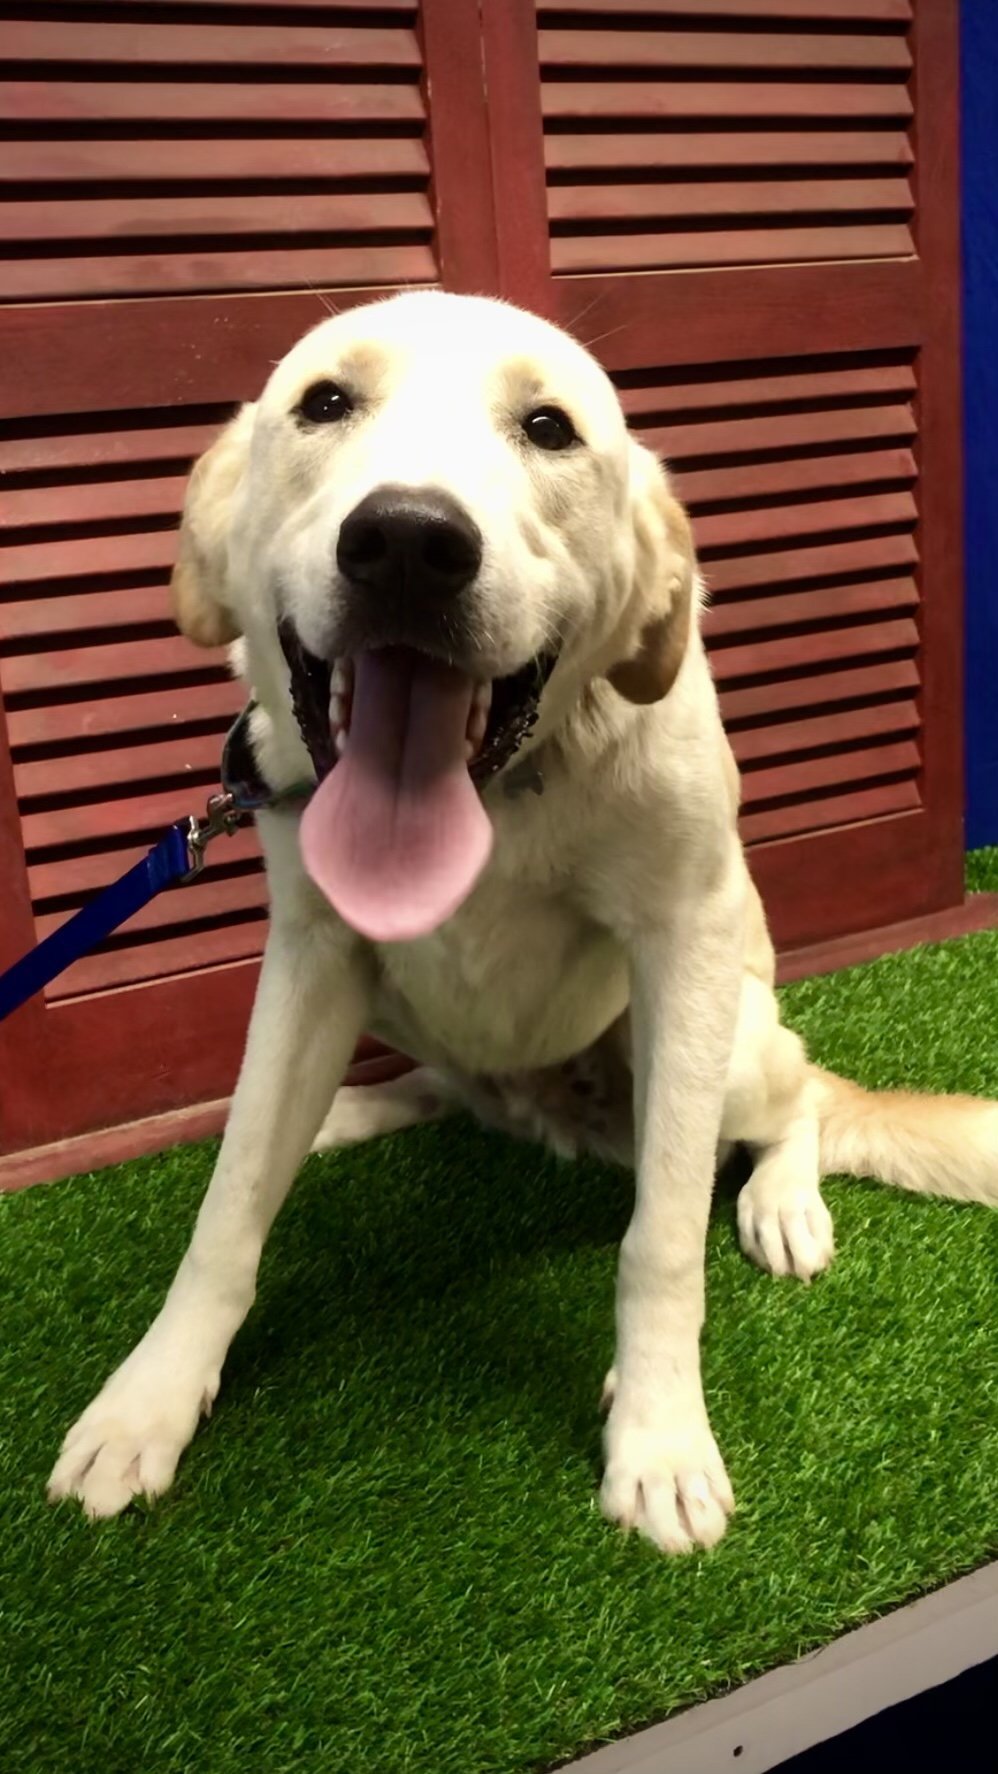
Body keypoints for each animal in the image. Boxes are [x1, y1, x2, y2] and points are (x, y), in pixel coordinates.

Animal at [48, 294, 998, 1554]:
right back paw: (351, 1109)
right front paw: (147, 1401)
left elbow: (659, 1242)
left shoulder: (684, 946)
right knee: (443, 1087)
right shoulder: (308, 954)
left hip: (723, 1042)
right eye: (324, 402)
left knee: (795, 1095)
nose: (406, 543)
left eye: (548, 427)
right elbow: (230, 1207)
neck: (496, 797)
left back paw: (780, 1198)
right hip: (394, 1003)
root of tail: (553, 1115)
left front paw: (657, 1436)